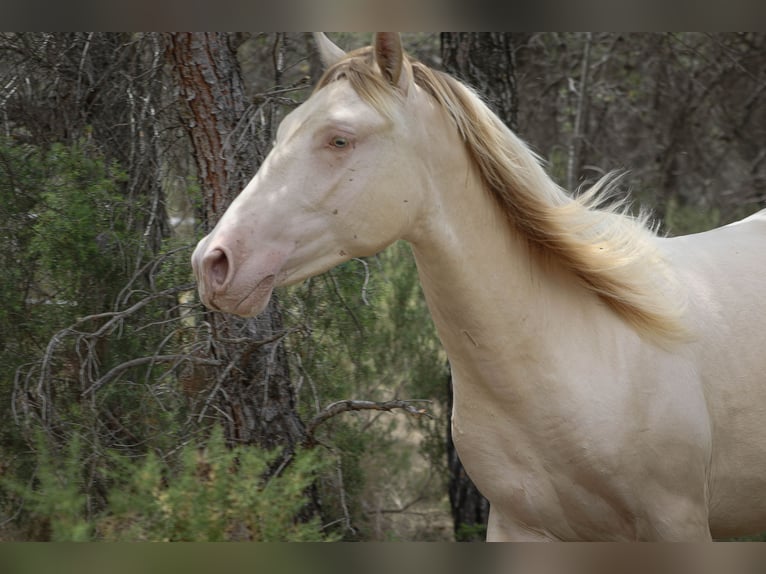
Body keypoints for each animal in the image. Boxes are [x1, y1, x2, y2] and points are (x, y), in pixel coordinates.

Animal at [191, 33, 766, 541]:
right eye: (284, 129)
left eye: (339, 138)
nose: (213, 262)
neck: (568, 351)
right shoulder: (520, 527)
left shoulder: (678, 524)